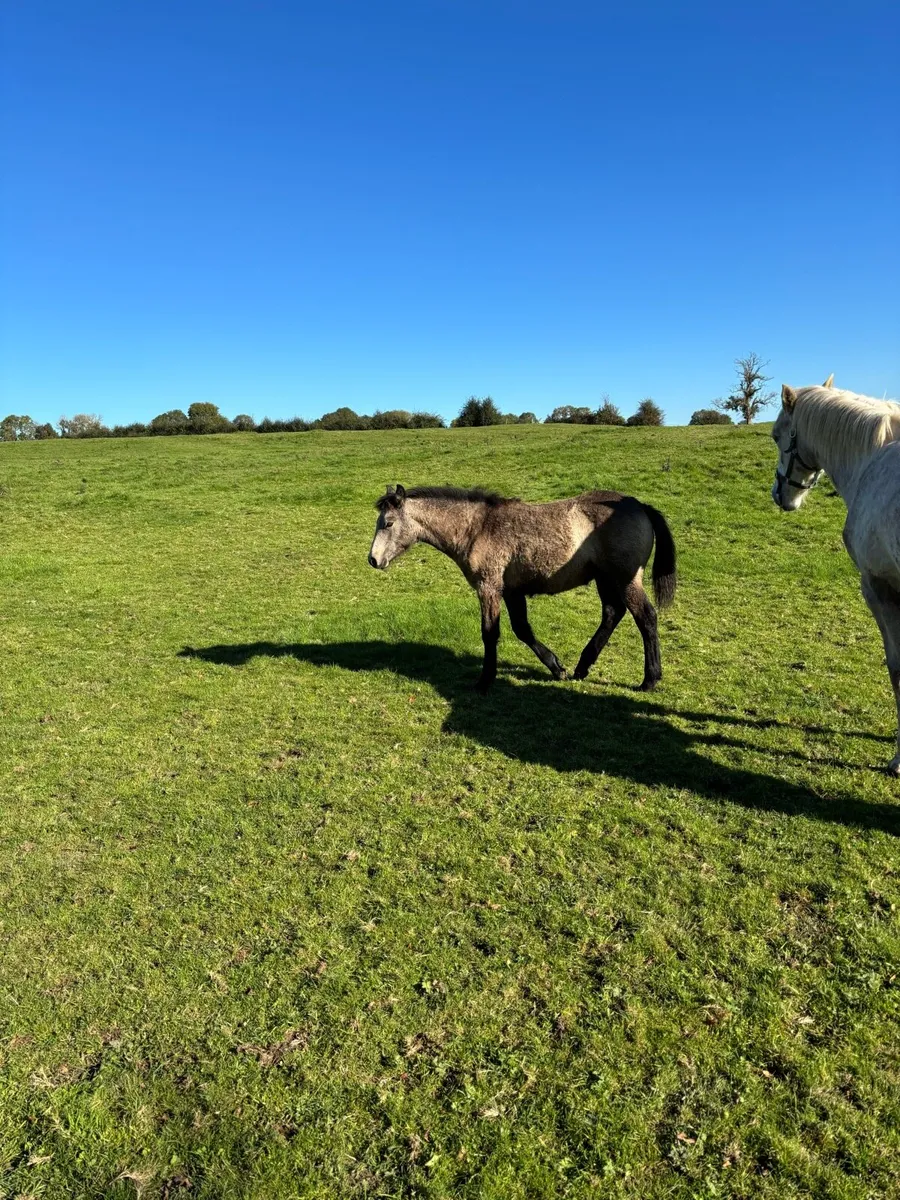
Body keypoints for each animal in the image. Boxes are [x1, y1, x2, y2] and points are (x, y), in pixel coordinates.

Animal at [368, 484, 676, 694]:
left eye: (389, 523)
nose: (373, 560)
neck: (477, 528)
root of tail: (639, 505)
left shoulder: (489, 587)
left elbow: (490, 633)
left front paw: (485, 680)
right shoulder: (512, 591)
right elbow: (522, 629)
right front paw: (557, 668)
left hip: (624, 579)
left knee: (646, 617)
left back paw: (649, 680)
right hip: (606, 579)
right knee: (613, 614)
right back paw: (582, 667)